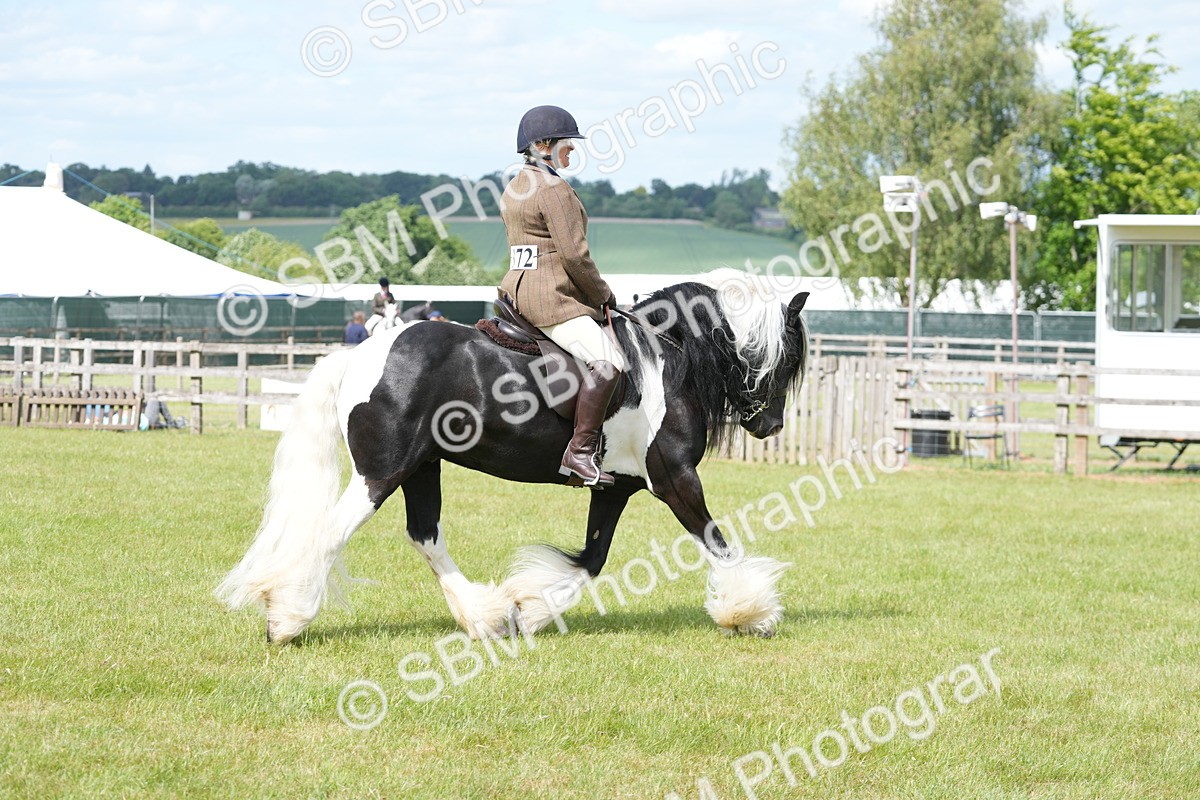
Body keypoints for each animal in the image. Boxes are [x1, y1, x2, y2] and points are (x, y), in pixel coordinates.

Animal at [216, 269, 809, 644]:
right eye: (786, 360)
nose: (771, 425)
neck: (666, 358)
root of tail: (361, 353)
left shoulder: (616, 485)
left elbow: (592, 558)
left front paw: (530, 608)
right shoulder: (675, 479)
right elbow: (717, 543)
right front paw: (750, 612)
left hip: (421, 467)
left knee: (426, 535)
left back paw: (484, 618)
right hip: (380, 472)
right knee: (332, 533)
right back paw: (287, 619)